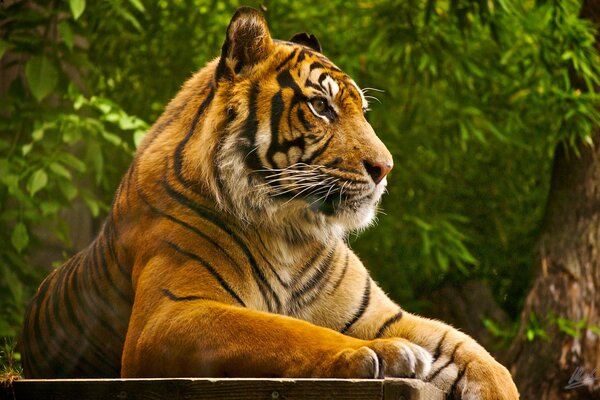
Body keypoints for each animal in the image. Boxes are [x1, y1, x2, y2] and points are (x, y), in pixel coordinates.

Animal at [21, 7, 516, 400]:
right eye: (321, 107)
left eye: (361, 110)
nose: (385, 168)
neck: (291, 231)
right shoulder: (168, 315)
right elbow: (288, 329)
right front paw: (376, 353)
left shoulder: (381, 313)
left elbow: (474, 351)